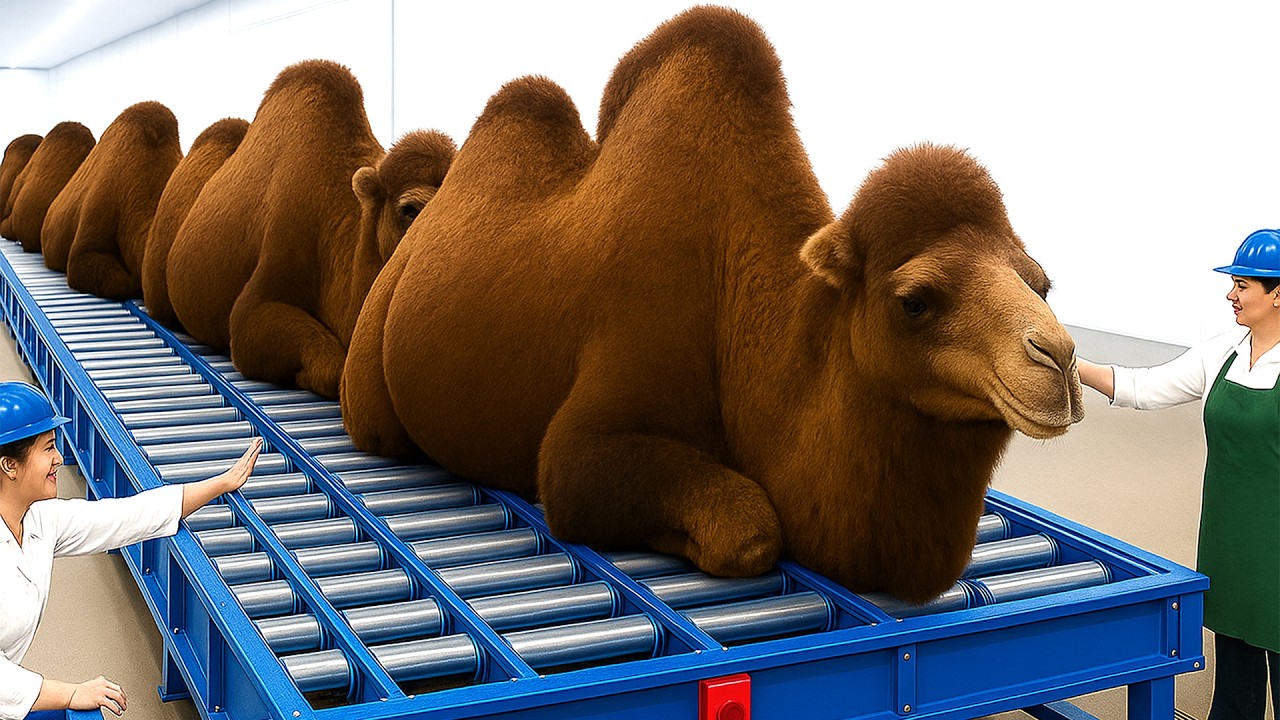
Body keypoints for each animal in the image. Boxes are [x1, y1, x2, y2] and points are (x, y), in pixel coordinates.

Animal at [341, 6, 1084, 603]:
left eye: (1041, 282)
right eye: (915, 301)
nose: (1058, 362)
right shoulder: (588, 435)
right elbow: (748, 528)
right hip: (373, 376)